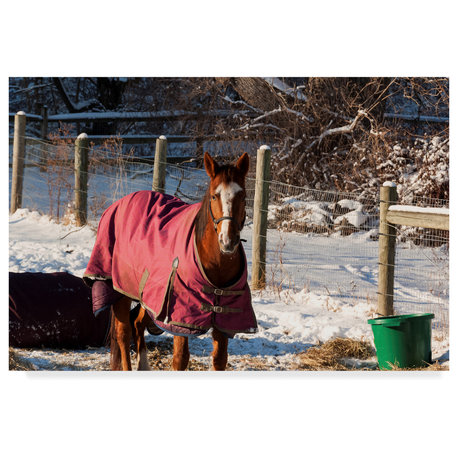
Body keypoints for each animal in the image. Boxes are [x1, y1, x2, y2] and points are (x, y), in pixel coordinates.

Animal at [84, 152, 256, 370]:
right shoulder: (179, 320)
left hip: (149, 297)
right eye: (214, 196)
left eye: (242, 195)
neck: (216, 265)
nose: (228, 240)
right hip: (120, 291)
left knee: (137, 323)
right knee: (123, 334)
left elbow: (219, 359)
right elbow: (180, 358)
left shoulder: (223, 321)